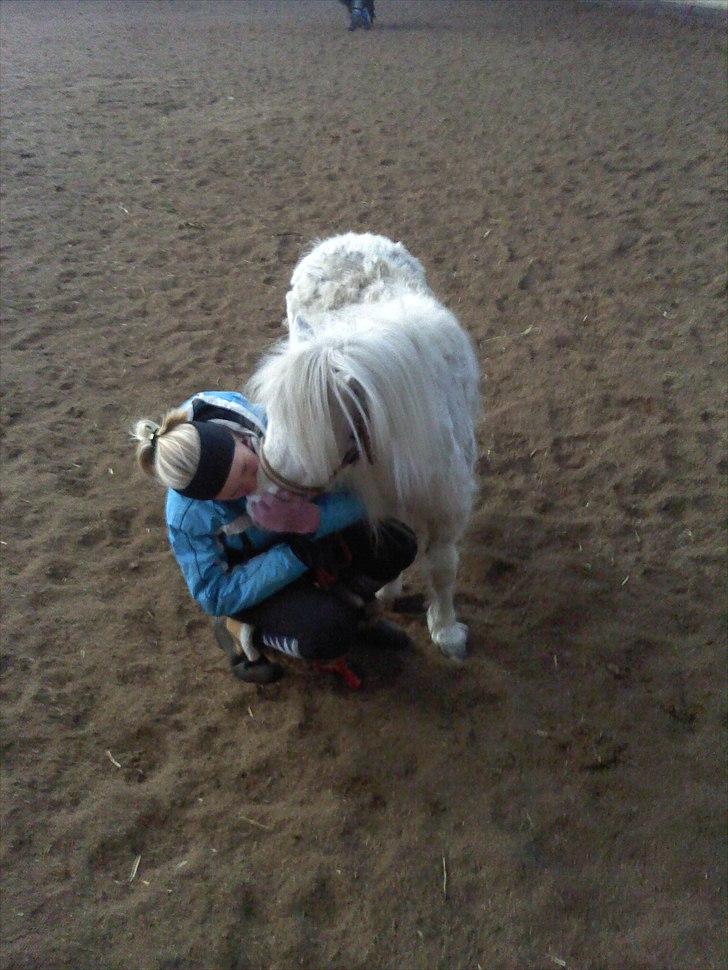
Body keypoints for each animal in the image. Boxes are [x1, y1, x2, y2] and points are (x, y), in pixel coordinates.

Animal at [247, 233, 480, 656]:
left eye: (314, 429)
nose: (257, 504)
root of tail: (341, 240)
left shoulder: (445, 509)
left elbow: (441, 568)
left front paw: (446, 632)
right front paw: (389, 594)